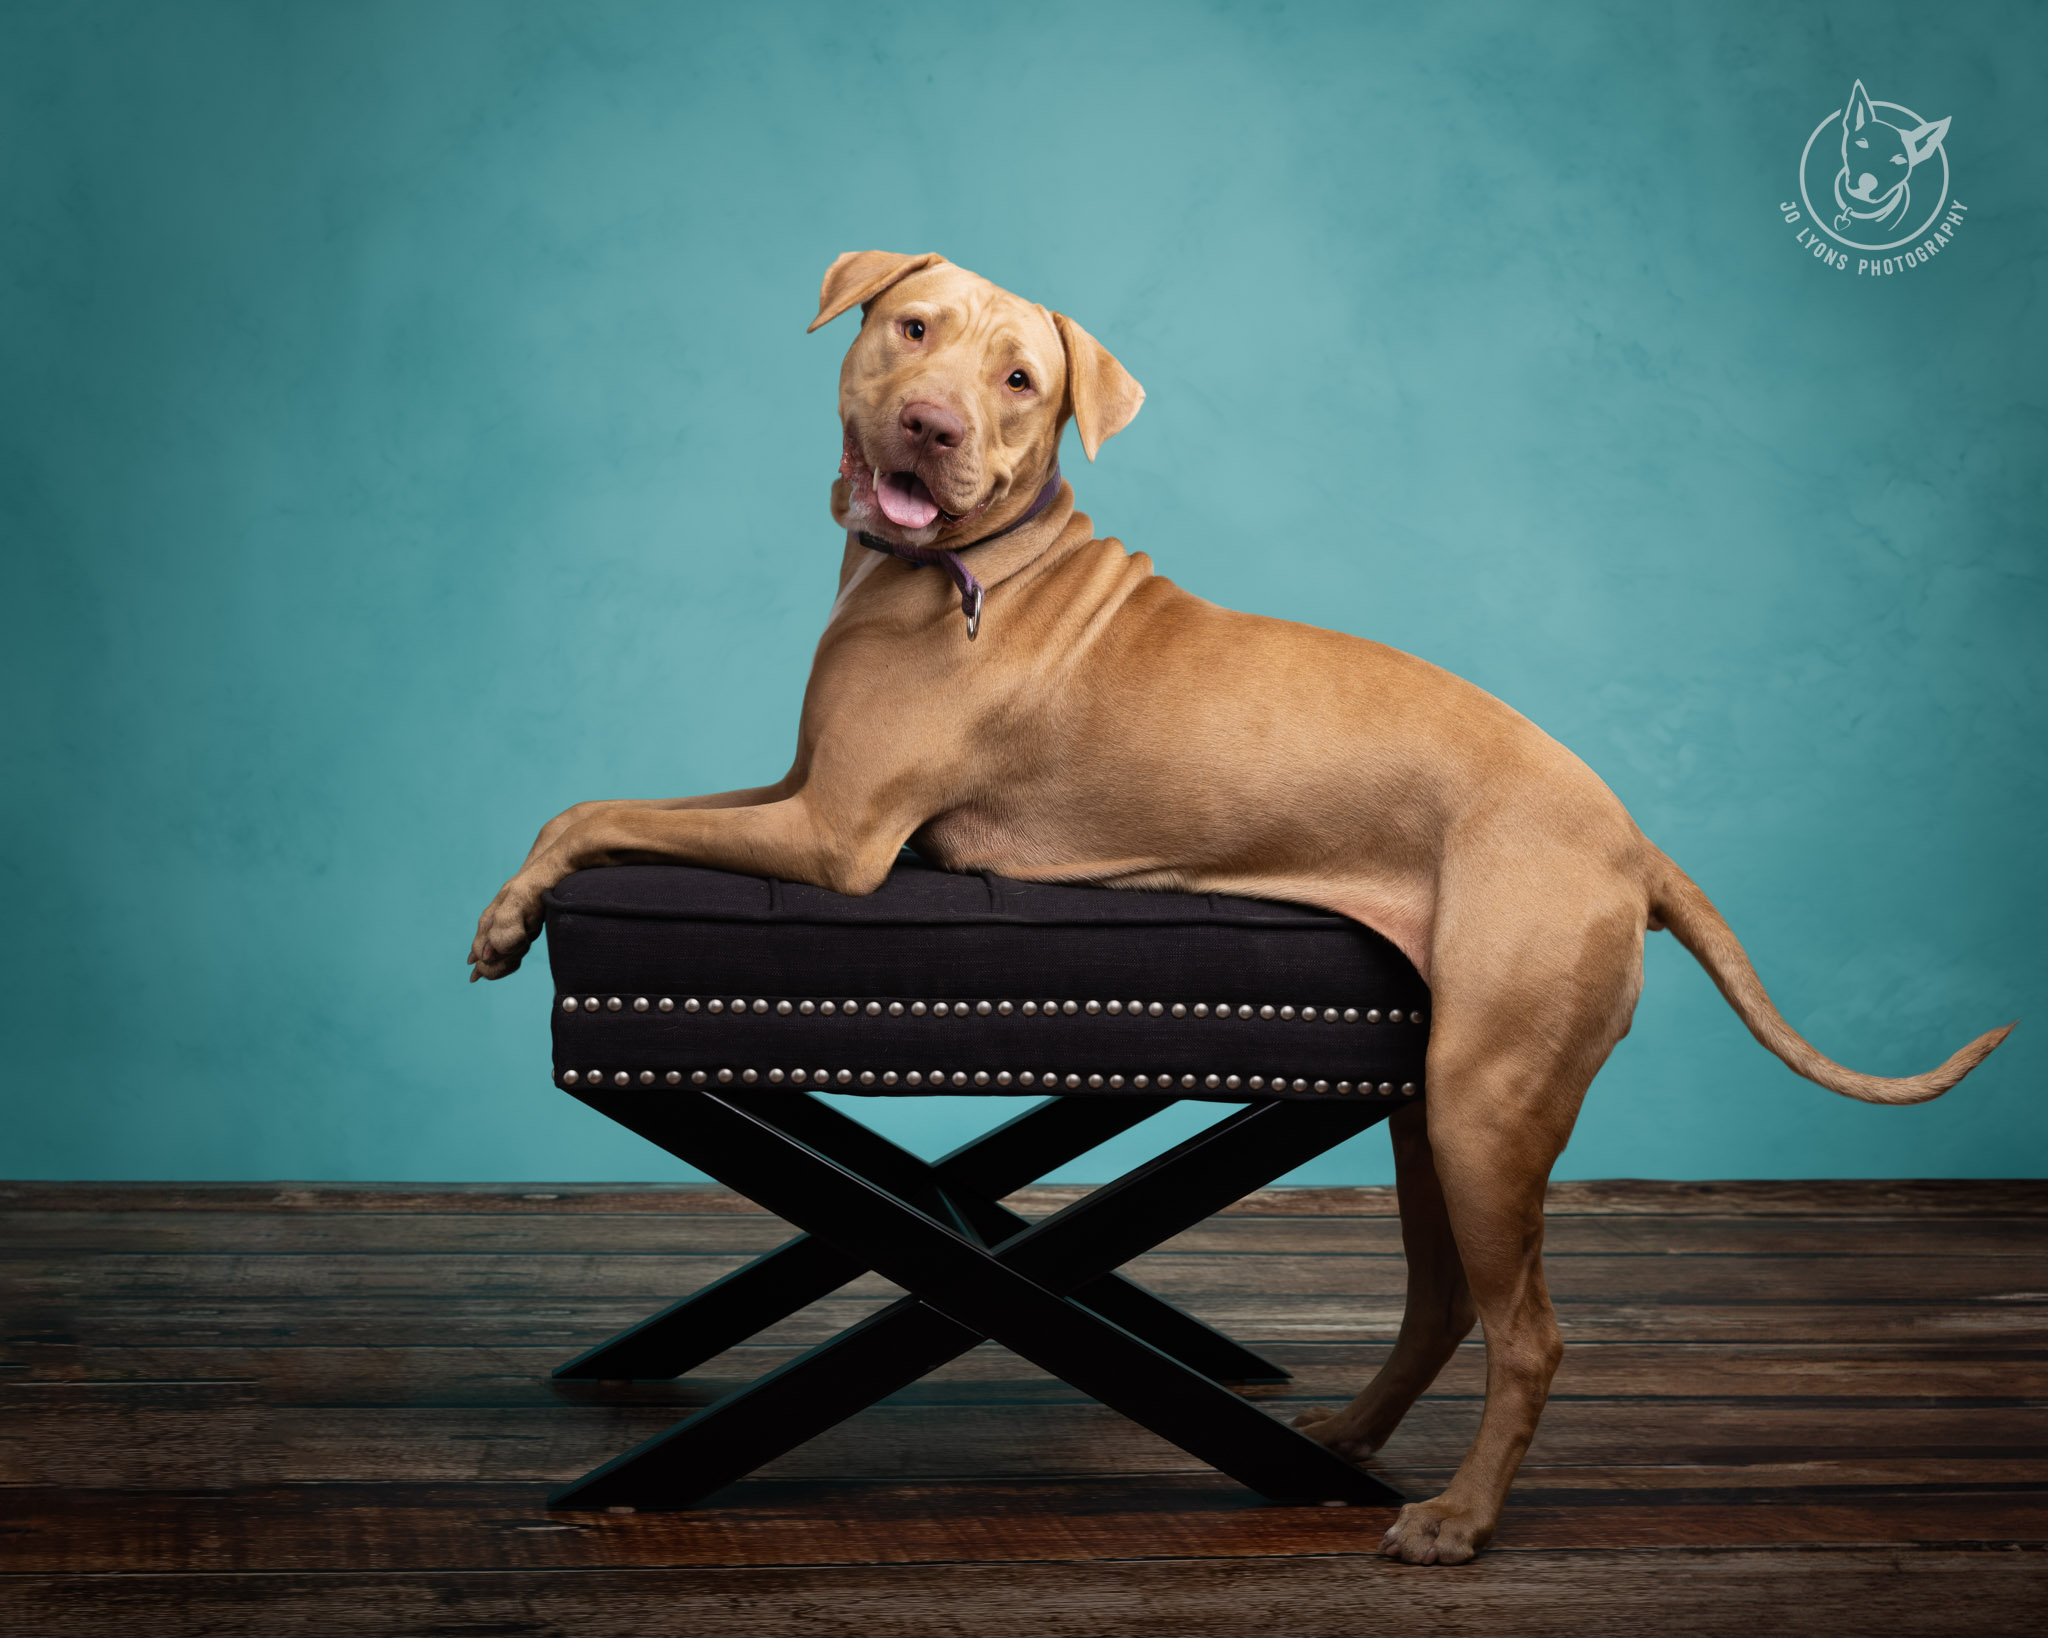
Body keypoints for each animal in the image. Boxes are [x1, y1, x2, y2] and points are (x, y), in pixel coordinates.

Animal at [475, 252, 2015, 1564]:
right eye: (910, 331)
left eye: (1019, 380)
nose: (928, 425)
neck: (953, 569)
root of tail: (1626, 835)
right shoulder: (798, 793)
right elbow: (592, 802)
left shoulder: (836, 839)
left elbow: (590, 812)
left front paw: (503, 921)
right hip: (1433, 1104)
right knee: (1444, 1297)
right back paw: (1352, 1439)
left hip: (1488, 1100)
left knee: (1528, 1332)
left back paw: (1455, 1520)